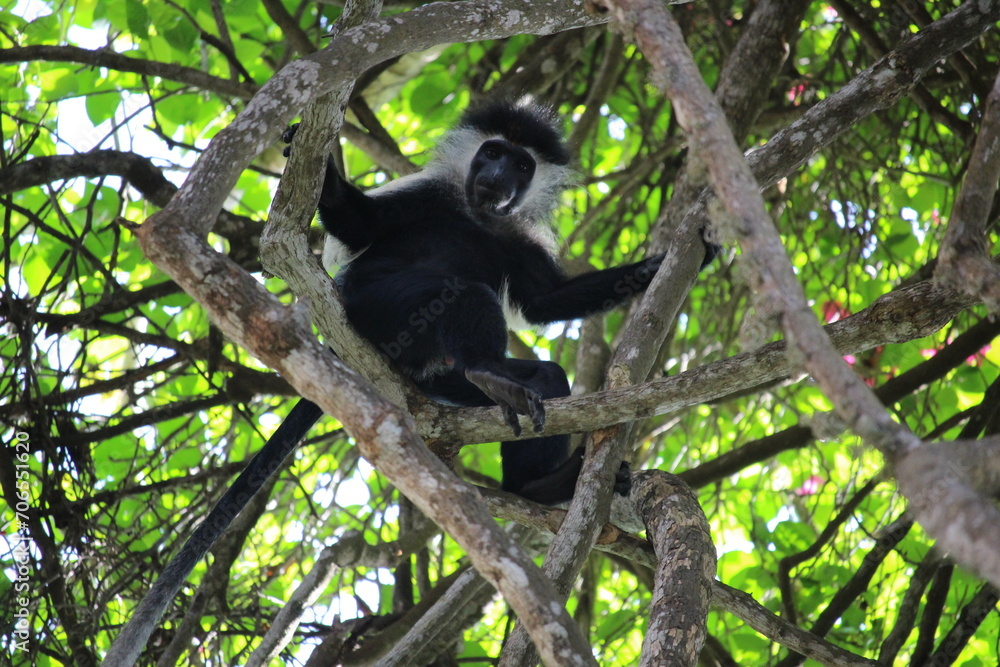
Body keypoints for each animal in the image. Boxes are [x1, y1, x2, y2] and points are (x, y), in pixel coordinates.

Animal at [101, 99, 716, 667]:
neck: (478, 215)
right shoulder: (426, 197)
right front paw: (319, 165)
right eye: (492, 153)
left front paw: (672, 261)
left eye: (521, 164)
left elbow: (546, 302)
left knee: (544, 376)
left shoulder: (516, 237)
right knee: (457, 292)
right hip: (378, 305)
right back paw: (491, 373)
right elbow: (362, 226)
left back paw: (536, 475)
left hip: (443, 378)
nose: (498, 174)